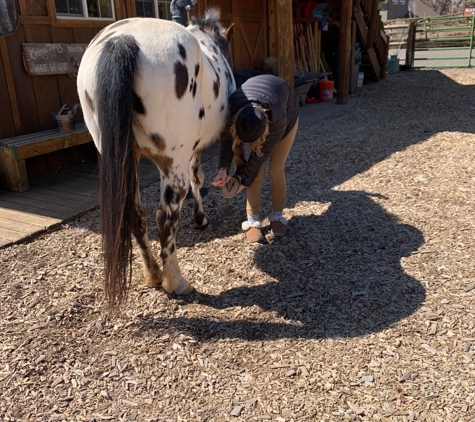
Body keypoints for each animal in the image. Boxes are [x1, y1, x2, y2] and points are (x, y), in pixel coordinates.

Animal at [76, 8, 238, 308]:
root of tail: (122, 40)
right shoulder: (192, 151)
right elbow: (198, 177)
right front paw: (201, 218)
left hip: (126, 158)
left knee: (134, 215)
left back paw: (152, 274)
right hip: (171, 164)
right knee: (165, 218)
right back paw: (175, 282)